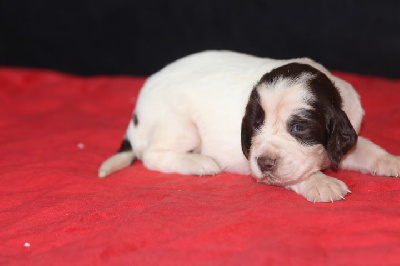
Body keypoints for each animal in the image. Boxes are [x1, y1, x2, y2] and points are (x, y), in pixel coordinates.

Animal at [97, 51, 400, 203]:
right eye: (255, 125)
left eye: (299, 128)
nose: (264, 162)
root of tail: (137, 113)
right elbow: (291, 175)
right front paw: (320, 182)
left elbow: (366, 148)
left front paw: (391, 161)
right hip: (180, 126)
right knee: (152, 155)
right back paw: (200, 163)